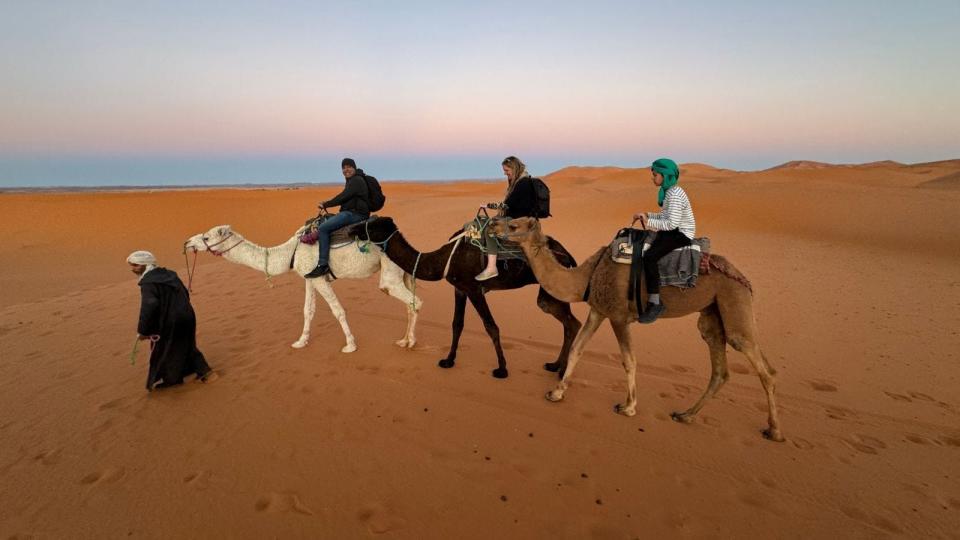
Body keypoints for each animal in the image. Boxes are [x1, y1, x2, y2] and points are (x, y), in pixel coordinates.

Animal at [184, 225, 420, 354]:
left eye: (206, 237)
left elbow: (337, 311)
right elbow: (308, 311)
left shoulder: (320, 278)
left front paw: (350, 345)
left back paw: (410, 342)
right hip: (403, 273)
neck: (290, 251)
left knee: (414, 301)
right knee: (410, 303)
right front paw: (301, 341)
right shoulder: (310, 277)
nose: (187, 242)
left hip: (390, 272)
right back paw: (405, 340)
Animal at [356, 216, 580, 380]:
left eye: (371, 226)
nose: (351, 229)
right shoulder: (460, 289)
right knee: (569, 323)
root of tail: (567, 254)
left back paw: (561, 371)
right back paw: (555, 366)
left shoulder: (474, 289)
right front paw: (448, 360)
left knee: (572, 323)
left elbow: (491, 326)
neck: (445, 258)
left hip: (552, 288)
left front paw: (502, 369)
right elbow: (457, 324)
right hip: (550, 293)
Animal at [492, 217, 784, 440]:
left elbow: (629, 360)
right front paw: (556, 392)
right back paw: (685, 415)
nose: (493, 224)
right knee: (720, 369)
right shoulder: (598, 310)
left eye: (514, 224)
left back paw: (775, 431)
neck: (587, 275)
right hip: (711, 314)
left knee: (763, 367)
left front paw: (628, 407)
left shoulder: (619, 316)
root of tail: (743, 277)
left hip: (734, 300)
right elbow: (577, 349)